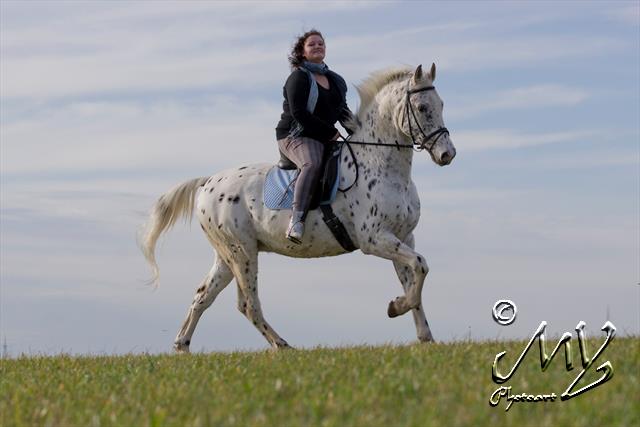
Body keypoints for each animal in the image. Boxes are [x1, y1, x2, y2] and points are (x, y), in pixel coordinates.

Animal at [142, 62, 458, 352]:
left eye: (441, 104)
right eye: (421, 107)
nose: (447, 154)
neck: (381, 164)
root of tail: (207, 182)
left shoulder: (403, 237)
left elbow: (414, 277)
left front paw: (424, 335)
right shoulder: (375, 239)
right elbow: (421, 266)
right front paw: (396, 307)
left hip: (227, 255)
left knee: (203, 296)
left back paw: (182, 347)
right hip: (242, 252)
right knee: (248, 304)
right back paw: (282, 345)